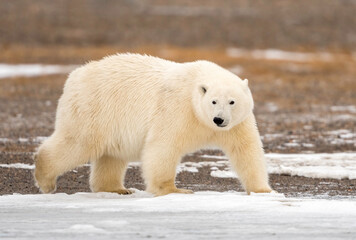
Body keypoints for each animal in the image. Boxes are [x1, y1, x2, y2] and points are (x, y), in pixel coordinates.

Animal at [34, 53, 272, 196]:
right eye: (213, 101)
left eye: (232, 101)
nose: (219, 119)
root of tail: (73, 75)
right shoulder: (178, 108)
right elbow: (164, 146)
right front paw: (174, 190)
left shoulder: (238, 124)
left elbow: (246, 150)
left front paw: (263, 191)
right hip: (94, 109)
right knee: (77, 142)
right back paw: (46, 180)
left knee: (112, 156)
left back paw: (118, 189)